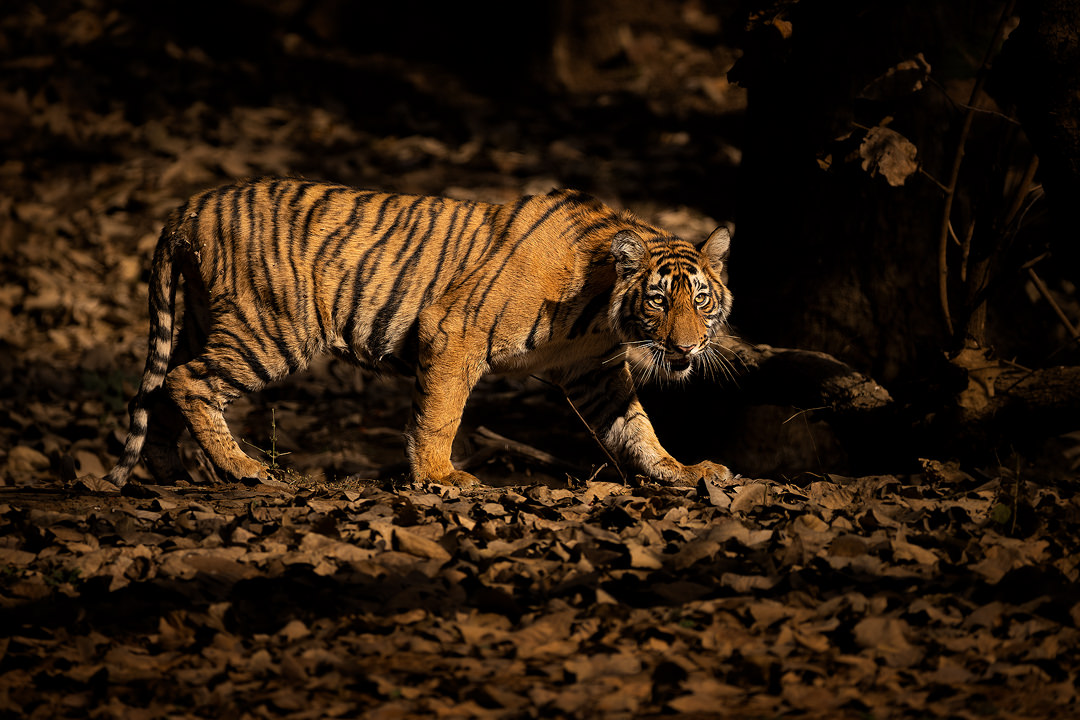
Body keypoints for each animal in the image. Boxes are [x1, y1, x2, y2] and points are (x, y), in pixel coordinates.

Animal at [105, 177, 734, 487]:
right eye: (658, 300)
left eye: (701, 302)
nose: (685, 347)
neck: (600, 312)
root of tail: (189, 206)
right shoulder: (453, 332)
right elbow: (440, 414)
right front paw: (440, 476)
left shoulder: (593, 370)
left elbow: (637, 428)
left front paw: (682, 471)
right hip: (272, 330)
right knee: (187, 382)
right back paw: (244, 469)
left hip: (206, 319)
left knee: (161, 390)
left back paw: (170, 472)